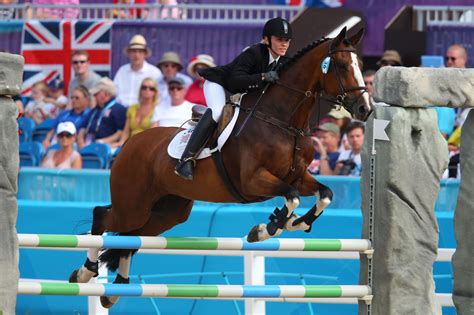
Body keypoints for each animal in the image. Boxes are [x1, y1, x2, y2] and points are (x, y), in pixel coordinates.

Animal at [68, 27, 372, 308]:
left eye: (361, 65)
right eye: (342, 66)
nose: (365, 109)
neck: (282, 120)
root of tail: (130, 143)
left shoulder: (298, 176)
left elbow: (324, 195)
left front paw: (294, 222)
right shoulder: (253, 181)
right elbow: (292, 196)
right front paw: (268, 228)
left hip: (167, 211)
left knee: (131, 238)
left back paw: (117, 287)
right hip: (133, 205)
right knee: (103, 217)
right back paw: (85, 273)